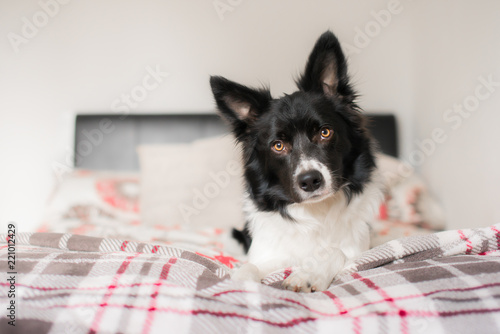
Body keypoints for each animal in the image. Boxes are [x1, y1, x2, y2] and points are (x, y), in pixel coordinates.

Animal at [209, 31, 380, 292]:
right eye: (278, 145)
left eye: (325, 132)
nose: (310, 181)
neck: (314, 212)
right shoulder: (268, 254)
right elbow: (248, 267)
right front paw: (239, 284)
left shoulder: (359, 249)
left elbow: (335, 252)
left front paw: (307, 274)